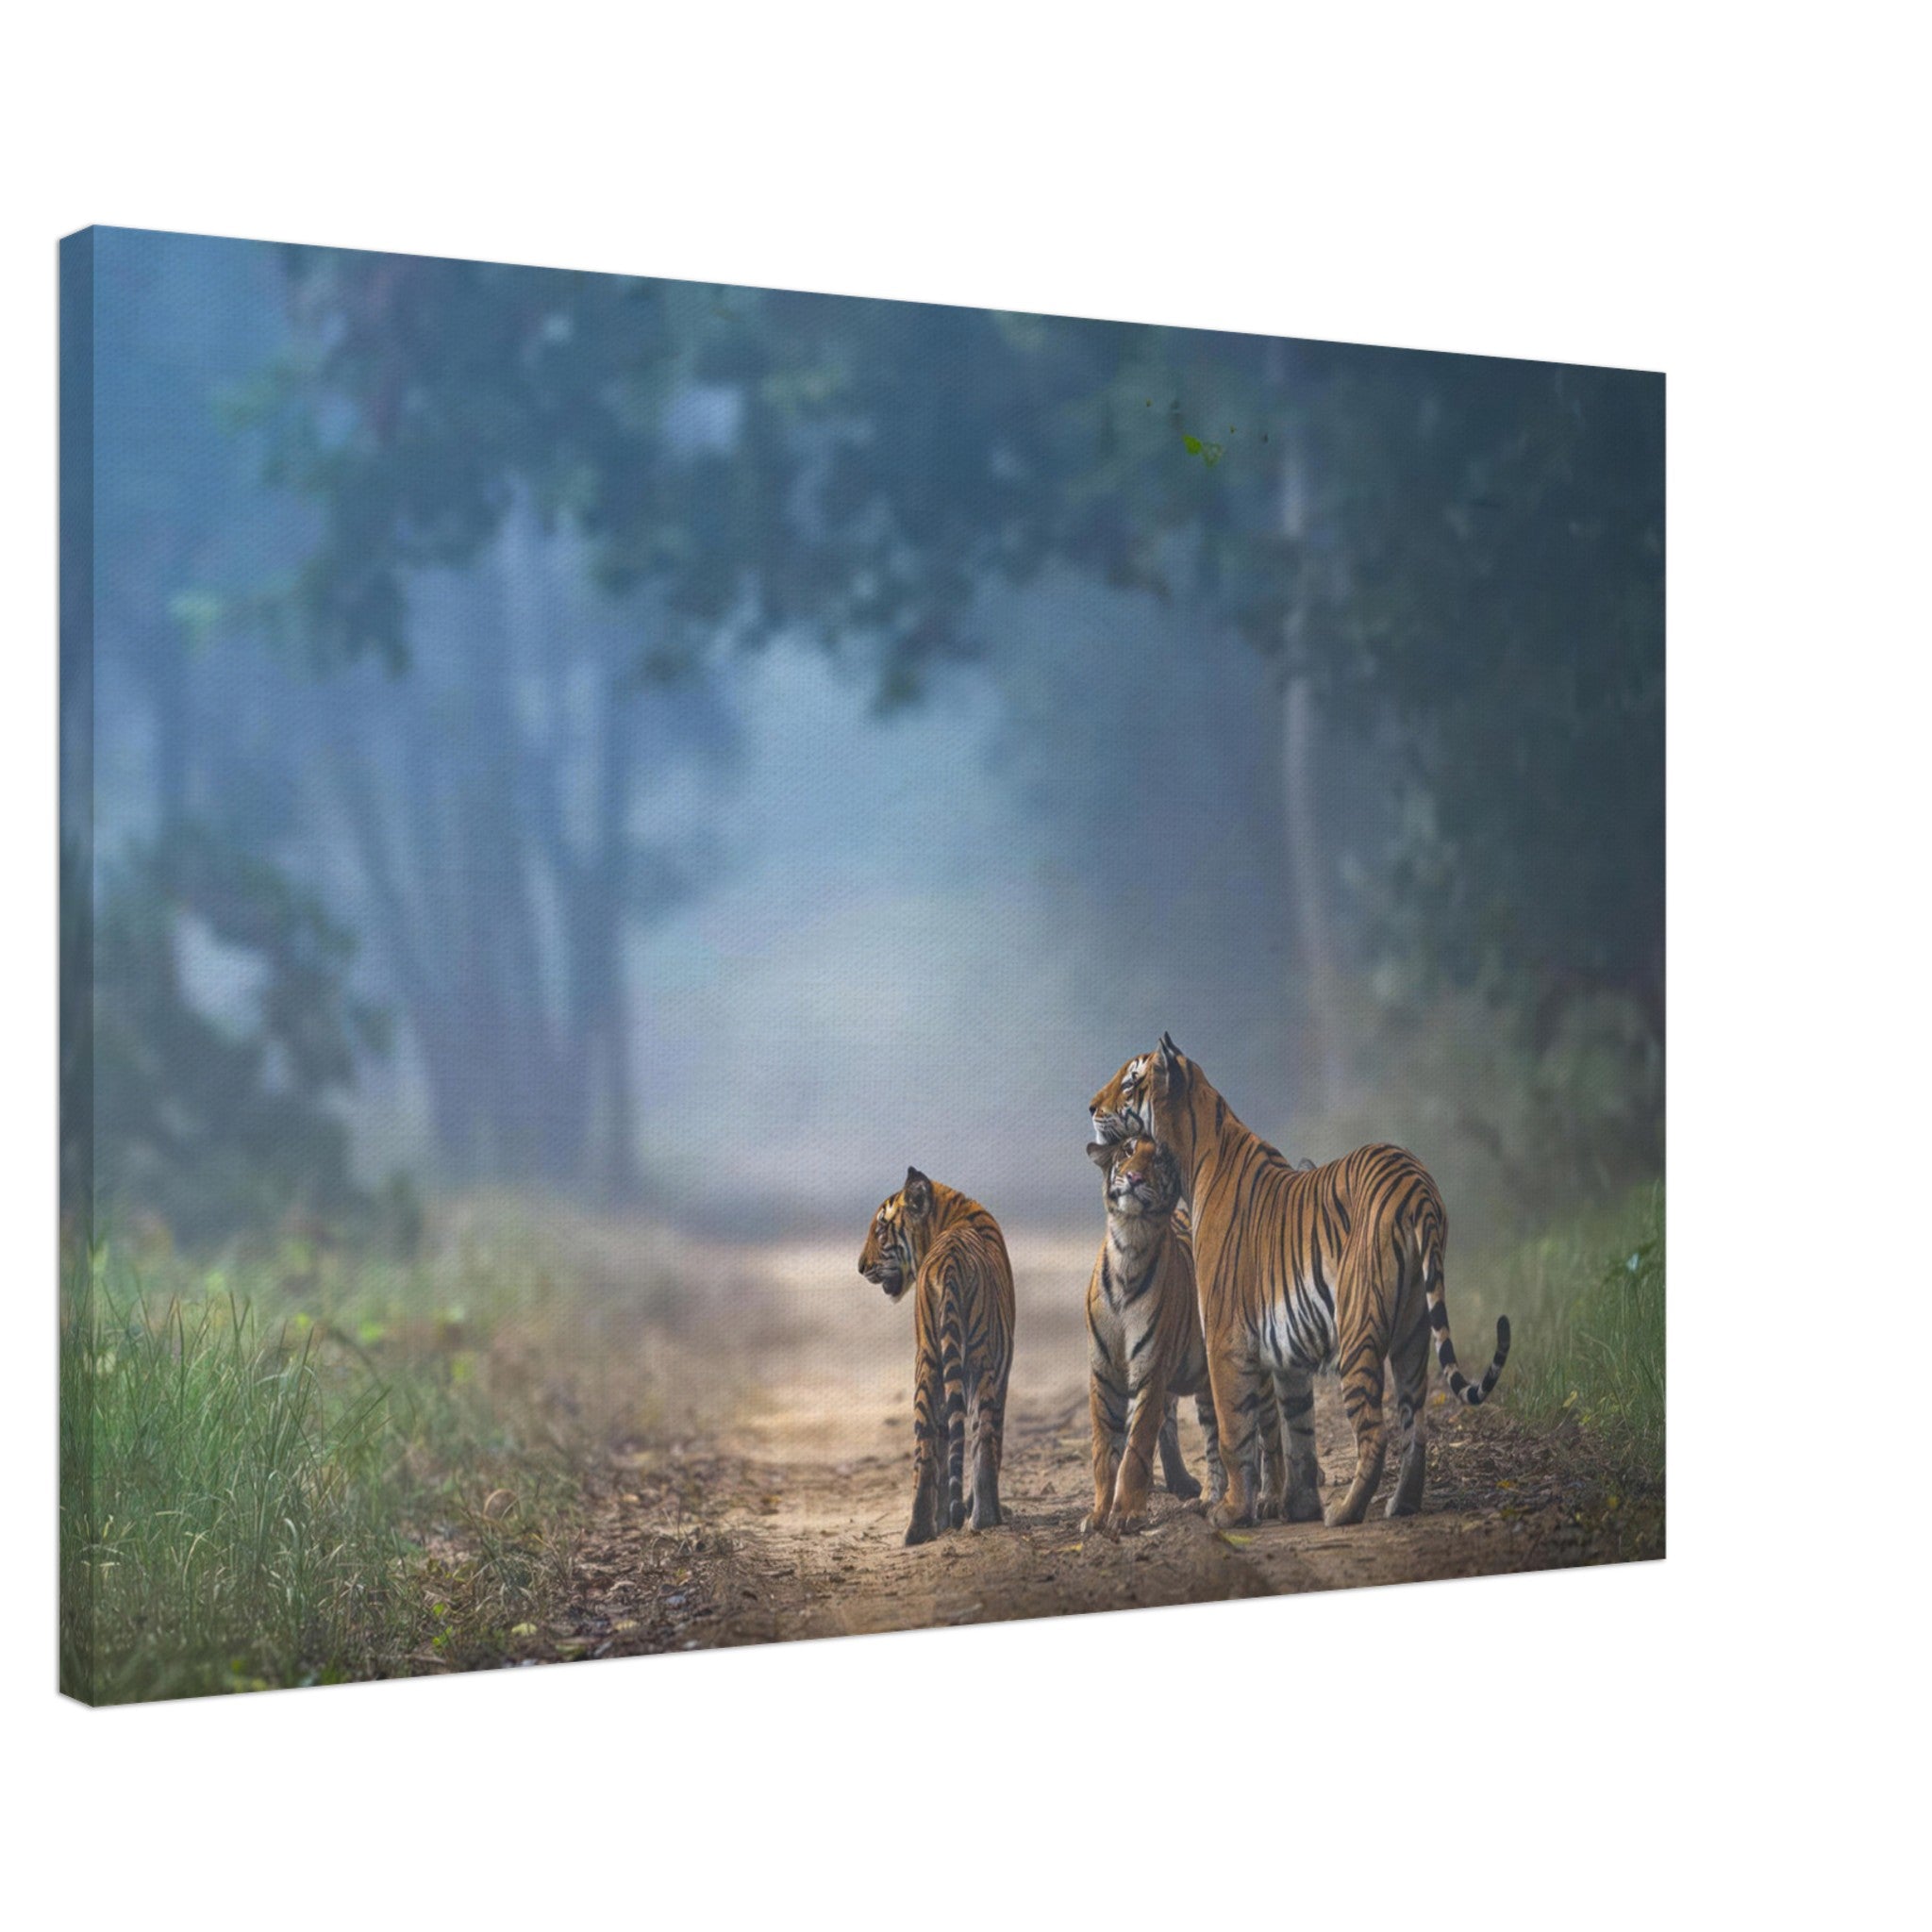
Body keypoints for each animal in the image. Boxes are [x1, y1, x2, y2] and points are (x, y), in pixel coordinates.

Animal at [858, 1167, 1017, 1546]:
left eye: (880, 1231)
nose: (860, 1266)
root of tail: (949, 1261)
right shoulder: (1002, 1371)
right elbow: (991, 1441)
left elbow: (947, 1444)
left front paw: (945, 1519)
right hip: (981, 1361)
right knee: (983, 1438)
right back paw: (985, 1518)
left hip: (927, 1363)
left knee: (926, 1450)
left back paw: (916, 1531)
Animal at [1083, 1134, 1287, 1535]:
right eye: (1128, 1151)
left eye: (1159, 1160)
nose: (1134, 1177)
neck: (1129, 1244)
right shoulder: (1104, 1374)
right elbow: (1104, 1450)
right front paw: (1098, 1514)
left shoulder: (1150, 1372)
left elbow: (1136, 1447)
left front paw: (1126, 1514)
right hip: (1208, 1385)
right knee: (1214, 1440)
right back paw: (1208, 1499)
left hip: (1254, 1369)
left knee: (1270, 1429)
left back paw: (1271, 1498)